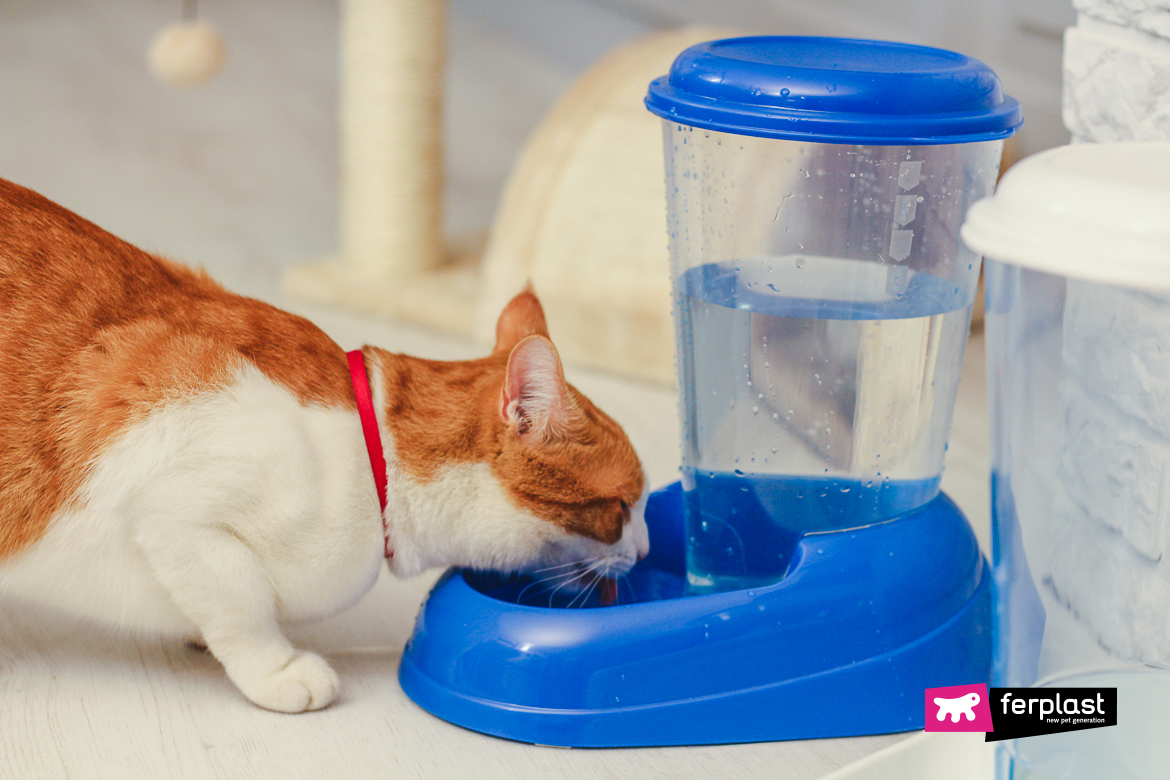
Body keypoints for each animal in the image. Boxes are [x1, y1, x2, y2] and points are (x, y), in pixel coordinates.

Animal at [0, 181, 650, 715]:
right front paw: (276, 668)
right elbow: (243, 604)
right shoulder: (177, 514)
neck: (374, 461)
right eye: (622, 506)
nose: (645, 550)